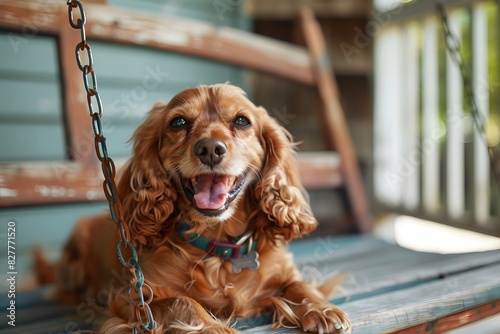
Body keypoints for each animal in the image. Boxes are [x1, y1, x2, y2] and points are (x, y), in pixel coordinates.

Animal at [47, 82, 352, 332]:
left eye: (242, 121)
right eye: (178, 122)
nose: (210, 149)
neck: (219, 243)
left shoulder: (282, 272)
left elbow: (299, 285)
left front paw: (321, 309)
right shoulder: (133, 298)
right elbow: (181, 301)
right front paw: (214, 328)